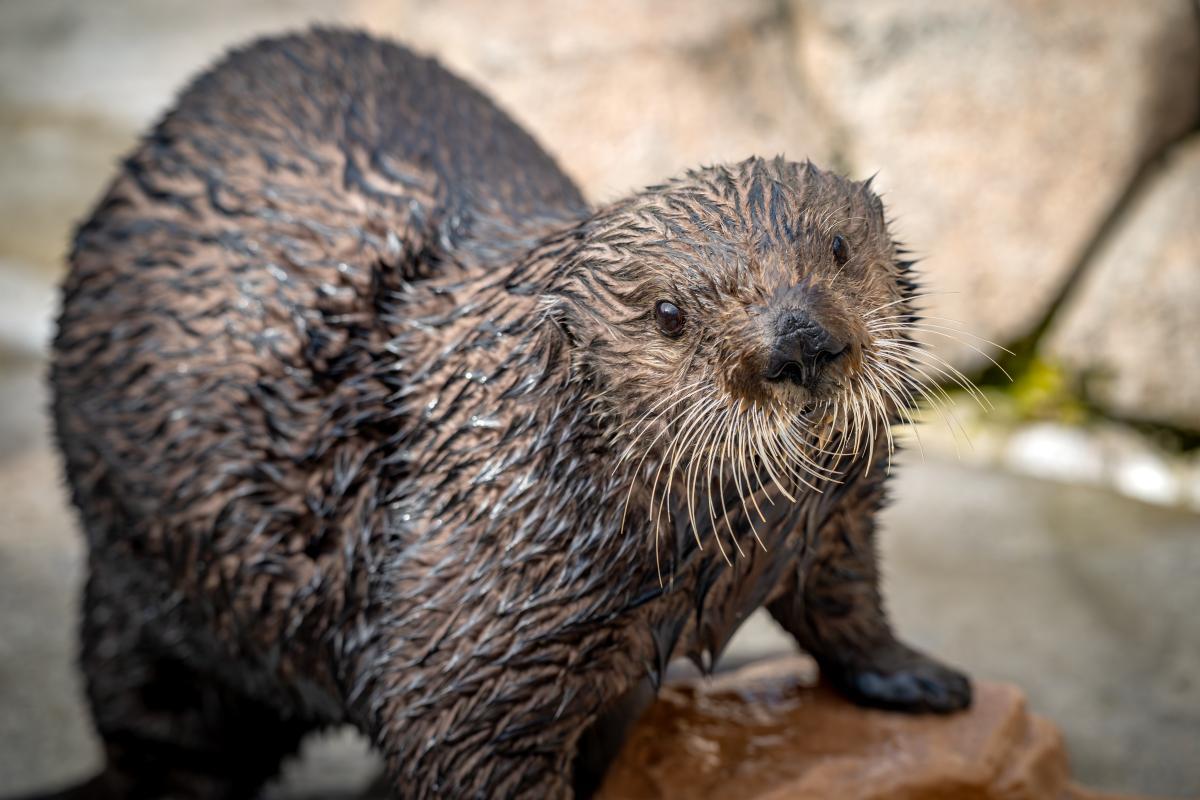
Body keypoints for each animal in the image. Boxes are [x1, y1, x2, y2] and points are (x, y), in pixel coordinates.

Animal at [43, 29, 970, 800]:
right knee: (161, 741)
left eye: (838, 249)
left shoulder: (832, 520)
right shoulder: (471, 641)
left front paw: (923, 678)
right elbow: (457, 749)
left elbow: (846, 596)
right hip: (137, 593)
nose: (802, 345)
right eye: (670, 314)